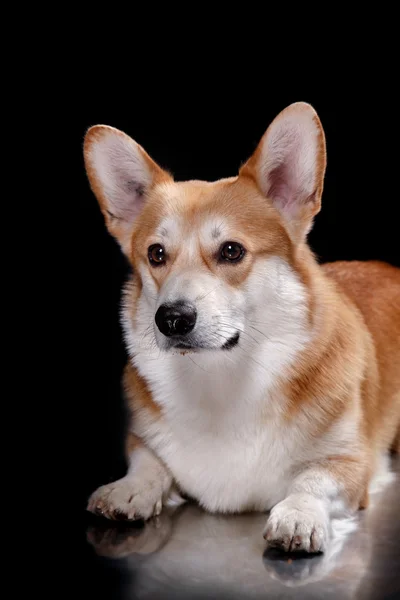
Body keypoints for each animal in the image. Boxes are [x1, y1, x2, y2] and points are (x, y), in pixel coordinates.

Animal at [83, 102, 398, 552]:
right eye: (156, 254)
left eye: (231, 251)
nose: (171, 318)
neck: (221, 379)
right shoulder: (143, 438)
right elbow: (148, 460)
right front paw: (129, 489)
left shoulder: (352, 463)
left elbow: (312, 480)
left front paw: (298, 515)